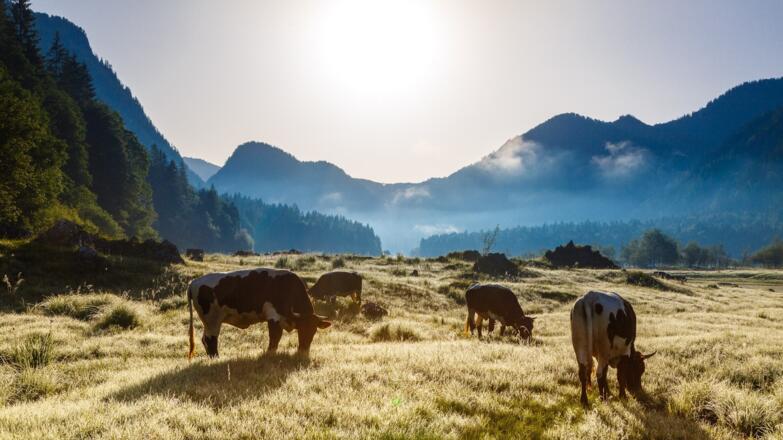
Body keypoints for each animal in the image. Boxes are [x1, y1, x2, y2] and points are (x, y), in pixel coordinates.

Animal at [187, 268, 331, 358]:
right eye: (301, 329)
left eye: (314, 331)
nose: (303, 351)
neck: (287, 288)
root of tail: (194, 282)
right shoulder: (274, 316)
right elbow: (275, 337)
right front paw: (269, 354)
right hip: (212, 320)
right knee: (210, 339)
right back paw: (216, 358)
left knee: (205, 339)